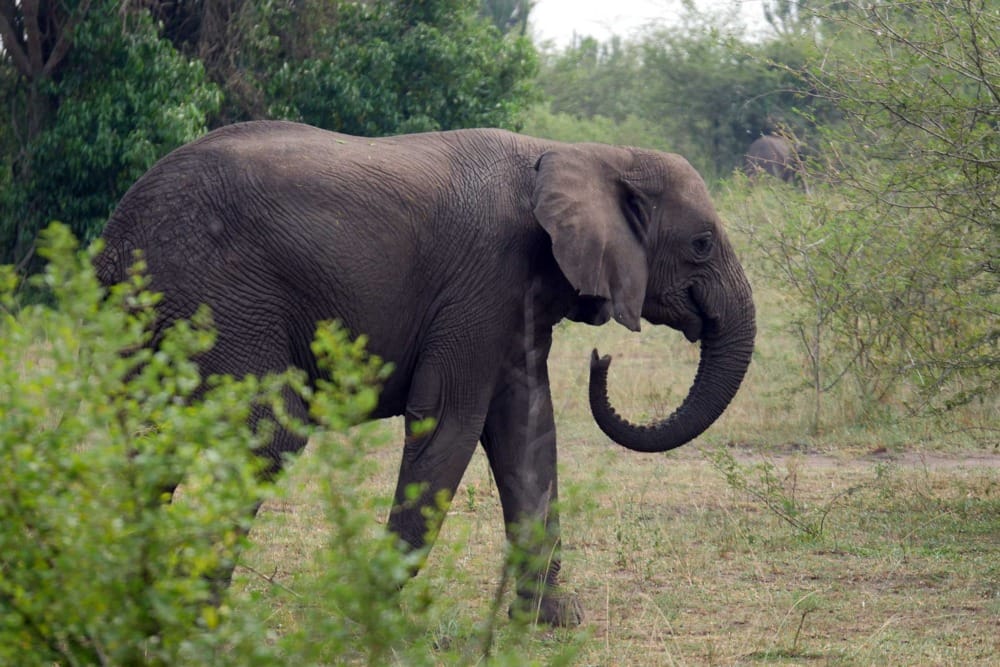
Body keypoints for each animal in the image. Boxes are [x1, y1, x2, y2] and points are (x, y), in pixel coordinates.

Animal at [94, 120, 756, 627]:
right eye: (701, 244)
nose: (602, 360)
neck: (583, 154)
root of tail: (116, 234)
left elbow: (526, 429)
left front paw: (551, 620)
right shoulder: (483, 282)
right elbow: (448, 422)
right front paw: (368, 610)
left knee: (150, 441)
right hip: (219, 297)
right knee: (266, 434)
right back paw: (193, 613)